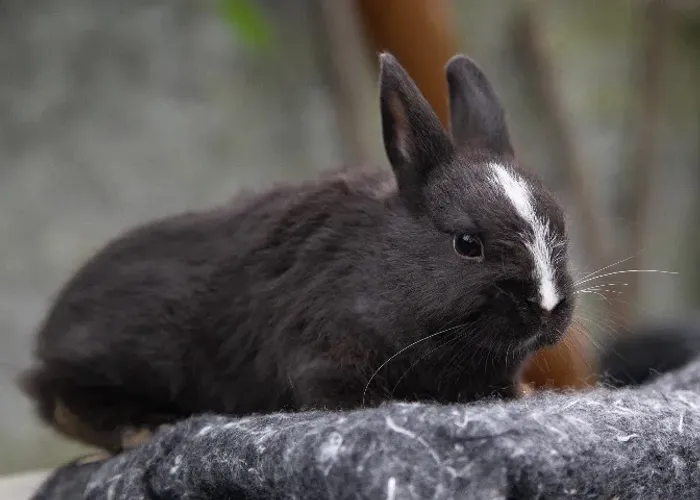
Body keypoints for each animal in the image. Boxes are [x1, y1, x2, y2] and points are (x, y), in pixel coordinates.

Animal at [19, 53, 575, 453]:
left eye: (562, 230)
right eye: (467, 244)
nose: (546, 306)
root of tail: (49, 335)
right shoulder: (320, 359)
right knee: (60, 399)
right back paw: (141, 428)